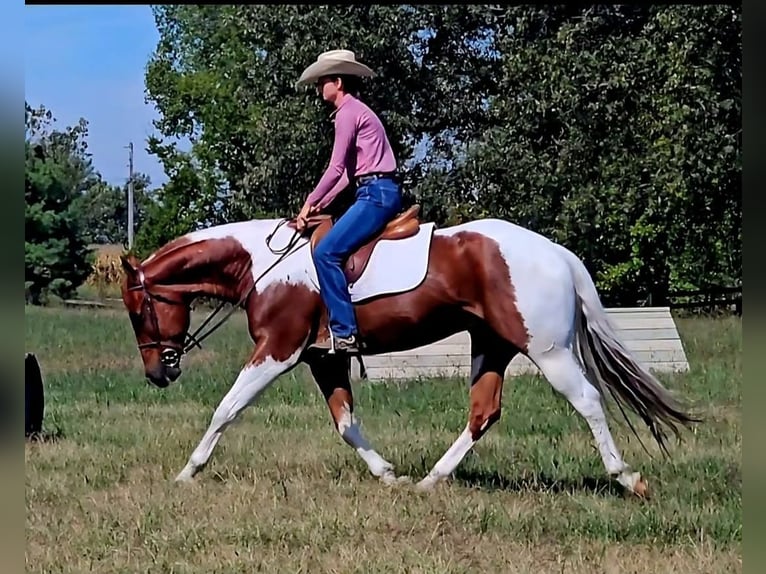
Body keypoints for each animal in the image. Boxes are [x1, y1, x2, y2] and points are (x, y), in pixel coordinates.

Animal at [119, 205, 698, 497]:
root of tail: (556, 252)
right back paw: (429, 481)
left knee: (587, 401)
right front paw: (387, 473)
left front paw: (187, 472)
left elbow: (226, 408)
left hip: (548, 350)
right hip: (492, 346)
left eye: (139, 309)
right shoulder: (323, 358)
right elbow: (346, 423)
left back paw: (628, 478)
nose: (157, 373)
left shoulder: (278, 351)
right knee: (483, 412)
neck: (263, 263)